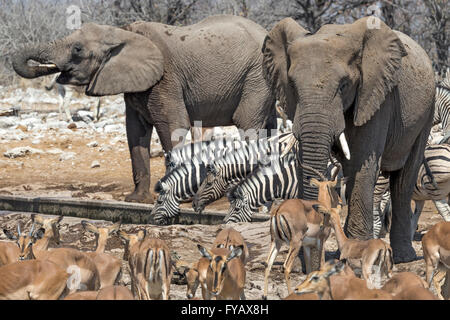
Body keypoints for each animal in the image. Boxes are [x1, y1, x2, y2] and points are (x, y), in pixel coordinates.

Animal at [264, 16, 436, 264]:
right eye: (293, 86)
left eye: (344, 85)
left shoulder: (376, 96)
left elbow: (360, 163)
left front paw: (357, 249)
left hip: (426, 114)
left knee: (404, 180)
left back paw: (405, 258)